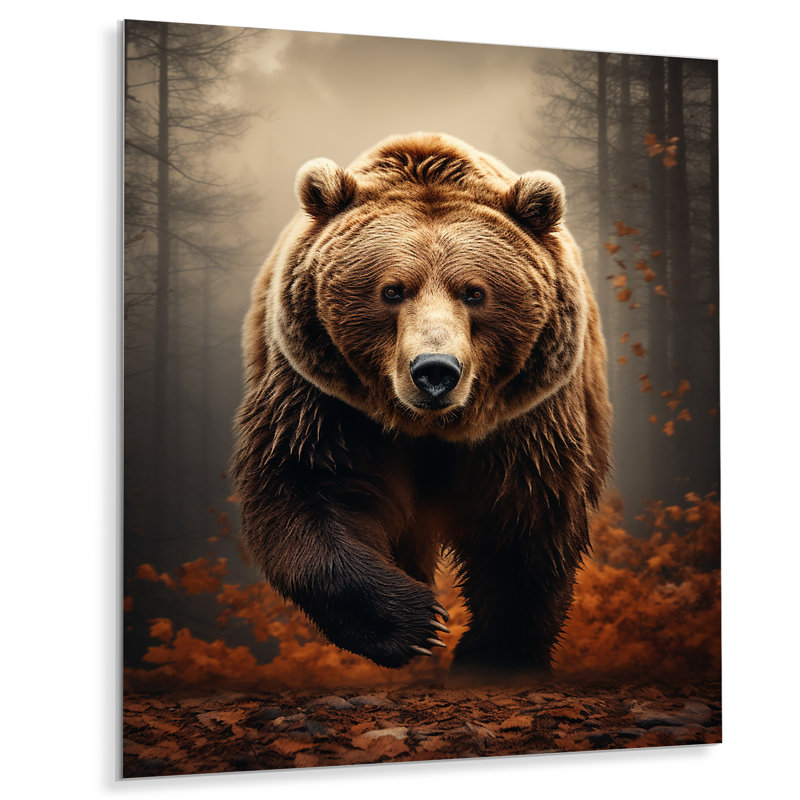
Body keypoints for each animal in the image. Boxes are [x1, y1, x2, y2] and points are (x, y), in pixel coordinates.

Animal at [232, 132, 612, 675]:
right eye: (392, 290)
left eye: (474, 292)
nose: (435, 370)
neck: (431, 428)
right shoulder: (323, 398)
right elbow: (308, 485)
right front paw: (415, 624)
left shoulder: (527, 415)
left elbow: (525, 518)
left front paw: (496, 653)